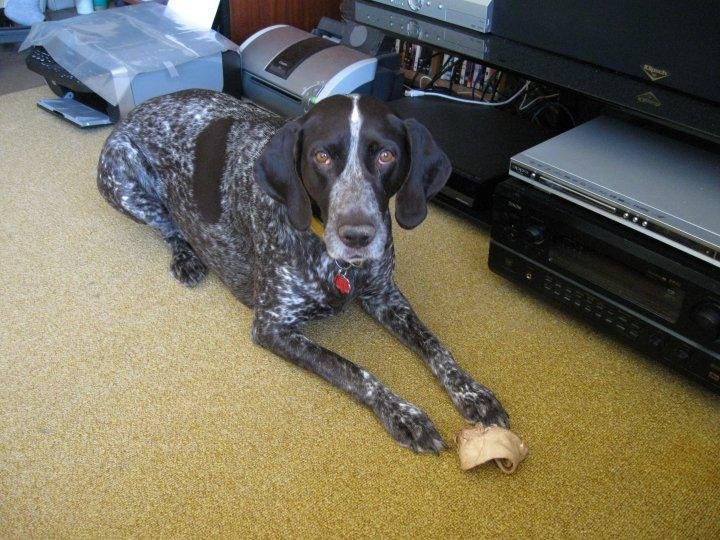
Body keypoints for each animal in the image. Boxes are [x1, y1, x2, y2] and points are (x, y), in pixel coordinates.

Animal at [97, 89, 508, 452]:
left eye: (387, 155)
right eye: (321, 157)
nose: (357, 235)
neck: (338, 263)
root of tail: (135, 111)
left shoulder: (384, 295)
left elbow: (434, 344)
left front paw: (472, 391)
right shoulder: (273, 326)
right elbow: (352, 369)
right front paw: (402, 413)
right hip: (121, 182)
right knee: (168, 226)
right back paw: (185, 257)